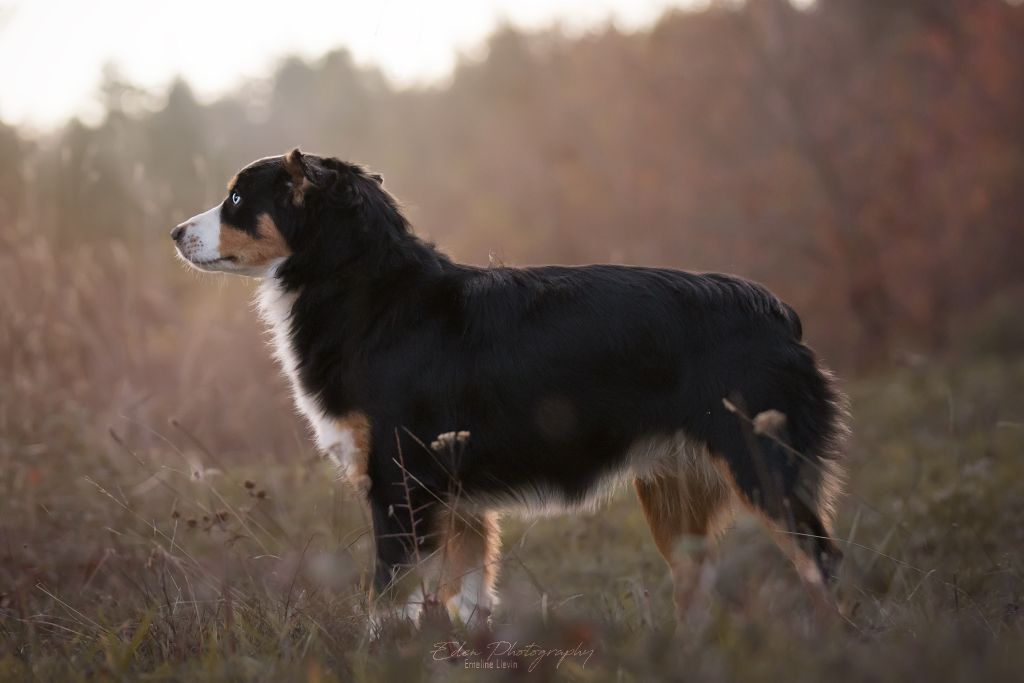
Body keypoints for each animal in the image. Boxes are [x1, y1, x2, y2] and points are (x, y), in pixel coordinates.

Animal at [172, 148, 847, 630]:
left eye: (236, 198)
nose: (175, 232)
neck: (367, 292)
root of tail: (776, 311)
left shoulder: (400, 485)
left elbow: (389, 598)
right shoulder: (459, 502)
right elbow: (468, 601)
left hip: (763, 469)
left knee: (819, 562)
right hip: (673, 492)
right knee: (696, 588)